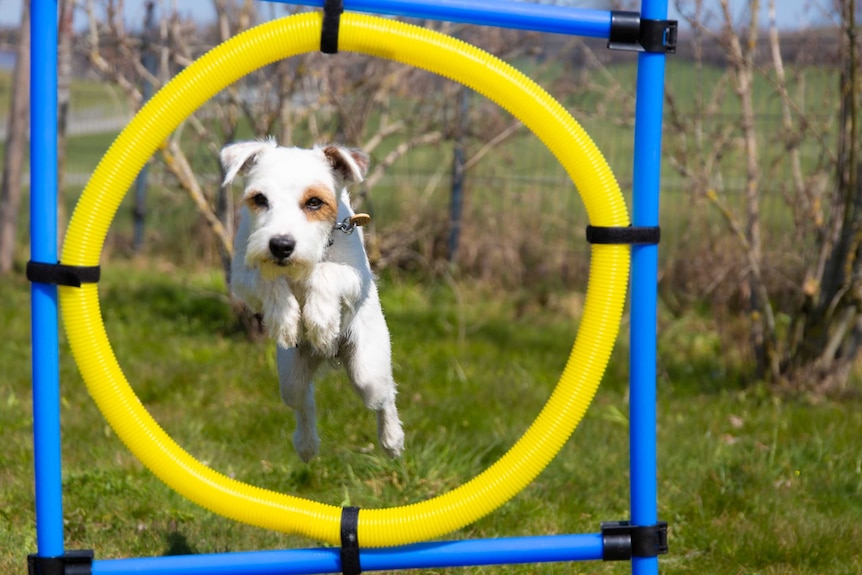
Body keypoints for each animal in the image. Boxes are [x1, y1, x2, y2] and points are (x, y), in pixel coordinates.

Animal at [224, 140, 406, 464]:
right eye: (260, 199)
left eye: (314, 203)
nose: (281, 245)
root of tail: (329, 357)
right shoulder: (242, 277)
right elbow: (269, 280)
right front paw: (286, 318)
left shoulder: (357, 277)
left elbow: (324, 272)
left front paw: (321, 320)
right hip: (290, 377)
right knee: (304, 403)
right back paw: (306, 445)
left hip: (368, 370)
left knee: (384, 397)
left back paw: (392, 440)